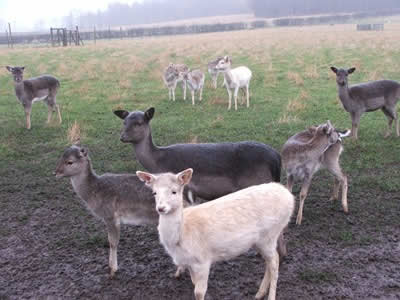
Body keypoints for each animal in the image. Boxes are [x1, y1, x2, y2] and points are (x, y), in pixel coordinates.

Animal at [54, 145, 159, 278]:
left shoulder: (110, 216)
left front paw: (113, 270)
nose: (55, 172)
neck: (94, 191)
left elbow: (113, 242)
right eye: (61, 157)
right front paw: (110, 267)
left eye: (70, 162)